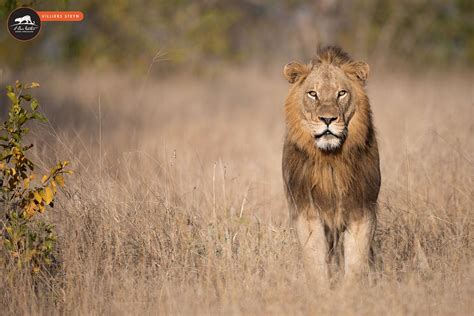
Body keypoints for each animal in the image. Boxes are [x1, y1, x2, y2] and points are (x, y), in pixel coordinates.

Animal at [282, 46, 382, 286]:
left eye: (341, 93)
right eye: (313, 94)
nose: (327, 119)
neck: (330, 160)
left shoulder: (362, 210)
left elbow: (356, 261)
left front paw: (350, 292)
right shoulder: (307, 212)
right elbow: (315, 260)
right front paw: (321, 291)